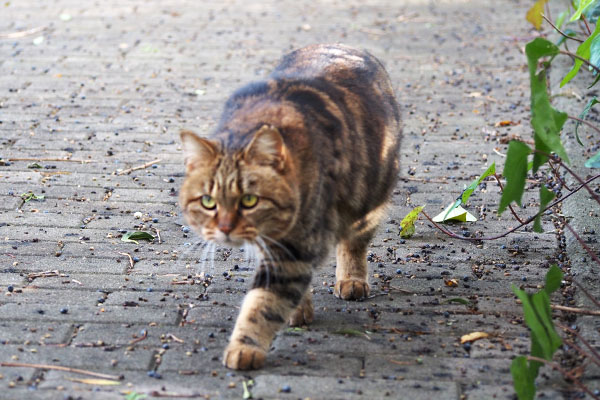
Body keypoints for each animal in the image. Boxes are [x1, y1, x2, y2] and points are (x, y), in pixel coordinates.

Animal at [180, 43, 400, 368]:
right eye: (208, 202)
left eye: (249, 200)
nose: (225, 228)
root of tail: (342, 44)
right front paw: (298, 310)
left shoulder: (296, 248)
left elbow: (263, 304)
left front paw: (245, 346)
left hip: (369, 200)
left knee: (354, 243)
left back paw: (352, 279)